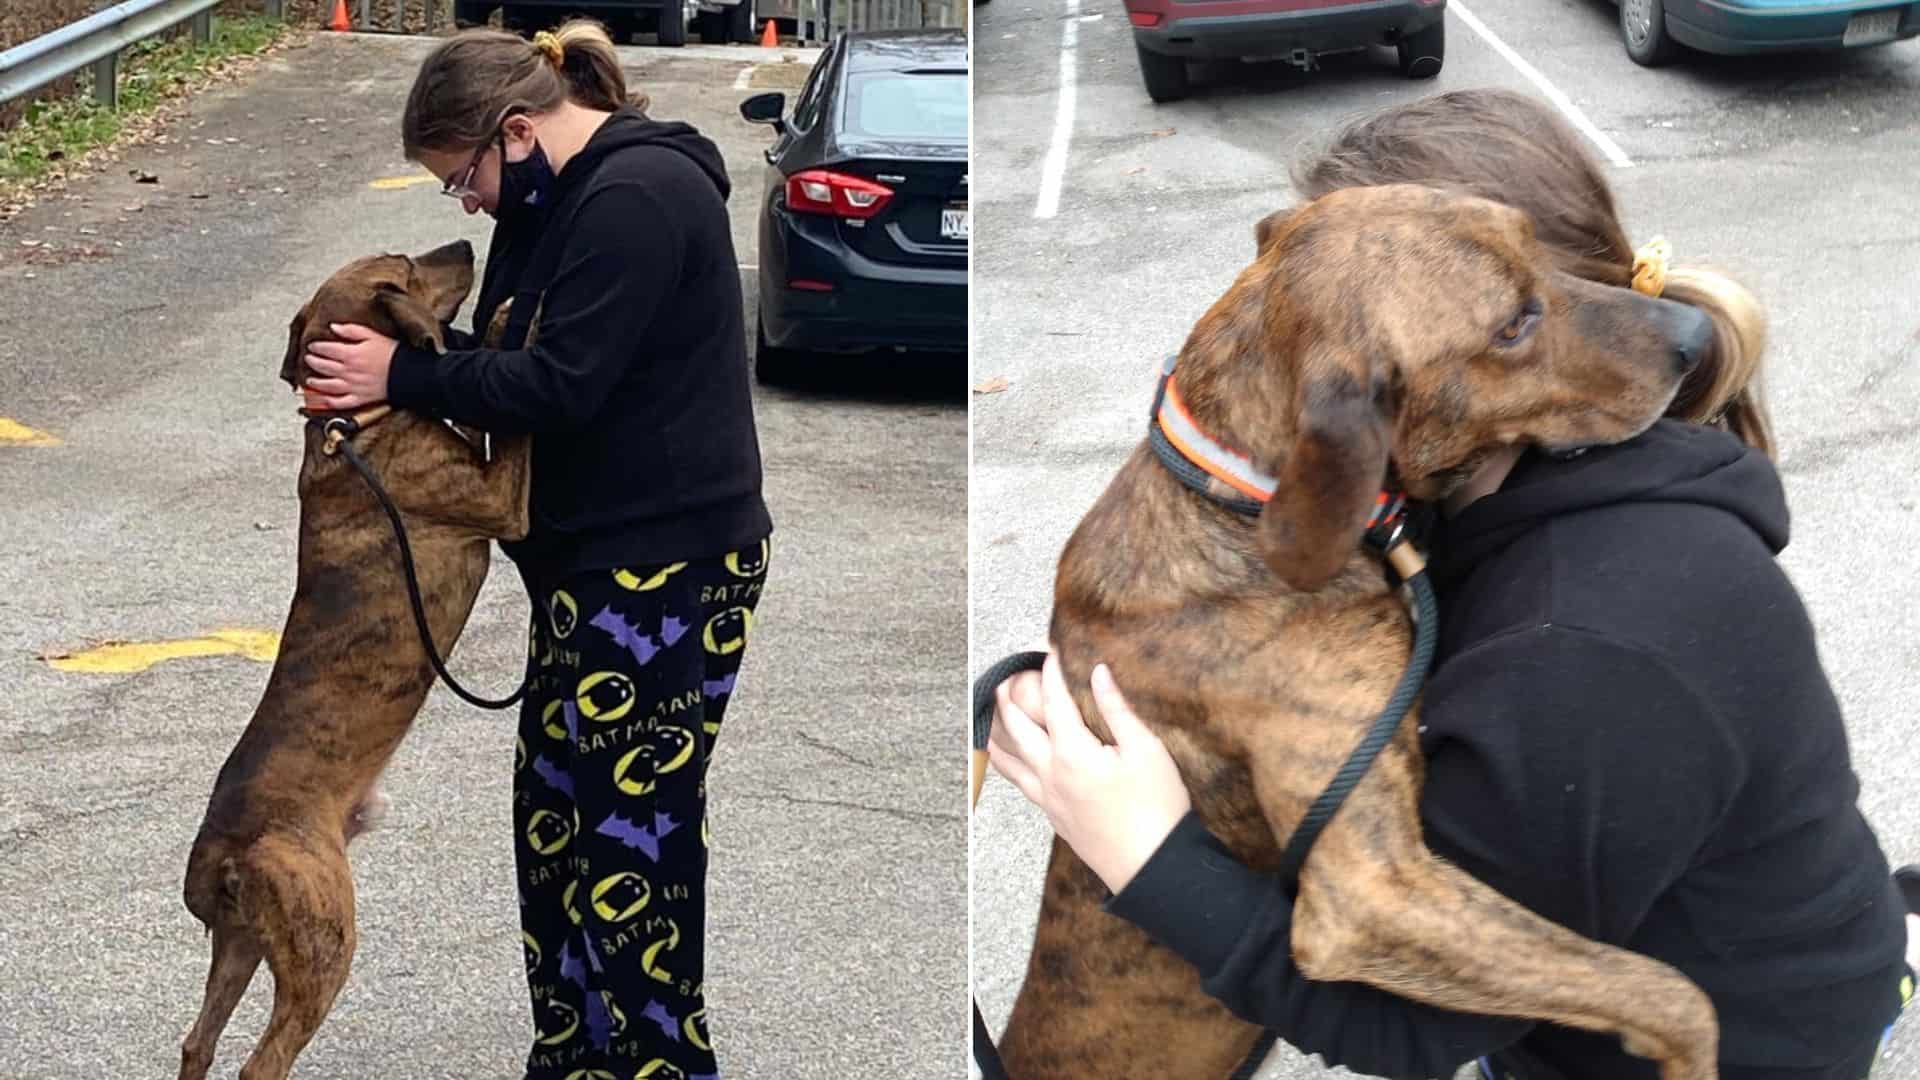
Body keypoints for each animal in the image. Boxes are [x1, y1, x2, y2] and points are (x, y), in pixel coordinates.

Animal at [179, 242, 533, 1076]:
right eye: (405, 266)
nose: (465, 245)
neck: (353, 424)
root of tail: (221, 853)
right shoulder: (504, 503)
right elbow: (510, 430)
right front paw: (509, 323)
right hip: (323, 938)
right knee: (261, 1061)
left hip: (242, 944)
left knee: (197, 1043)